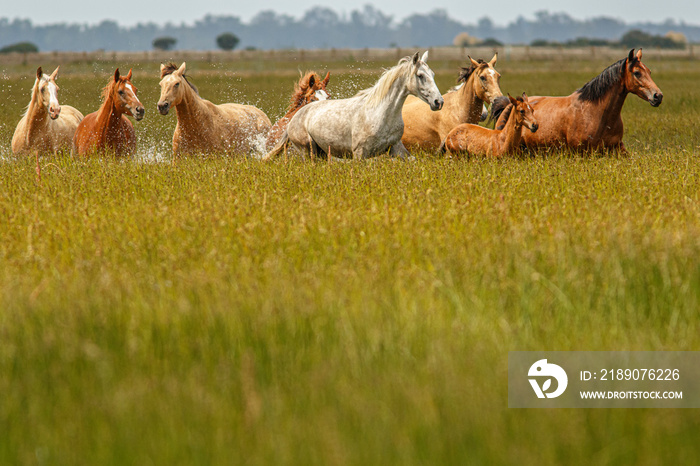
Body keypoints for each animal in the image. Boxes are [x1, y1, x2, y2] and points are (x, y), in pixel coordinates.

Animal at [262, 52, 442, 161]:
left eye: (433, 74)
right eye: (420, 75)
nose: (438, 102)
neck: (381, 114)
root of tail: (295, 117)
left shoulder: (396, 149)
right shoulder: (360, 154)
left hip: (321, 153)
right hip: (309, 152)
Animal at [492, 48, 660, 153]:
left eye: (649, 71)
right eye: (637, 73)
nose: (658, 96)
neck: (597, 113)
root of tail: (509, 104)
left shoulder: (617, 148)